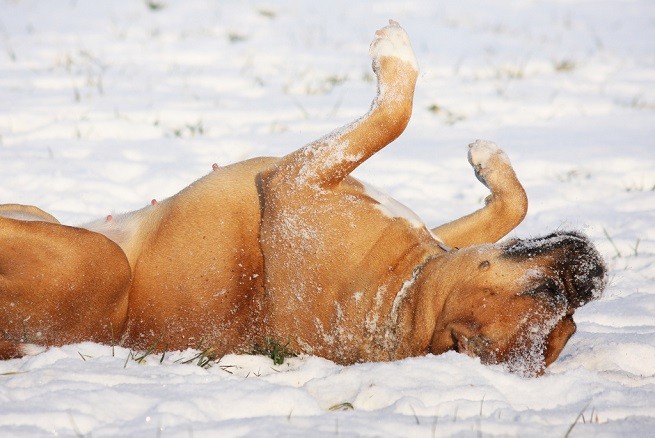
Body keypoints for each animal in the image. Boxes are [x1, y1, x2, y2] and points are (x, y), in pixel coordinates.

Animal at [0, 21, 604, 376]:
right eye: (559, 305)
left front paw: (393, 53)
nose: (593, 276)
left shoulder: (297, 177)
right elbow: (513, 203)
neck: (405, 296)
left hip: (98, 259)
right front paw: (489, 160)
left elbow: (393, 114)